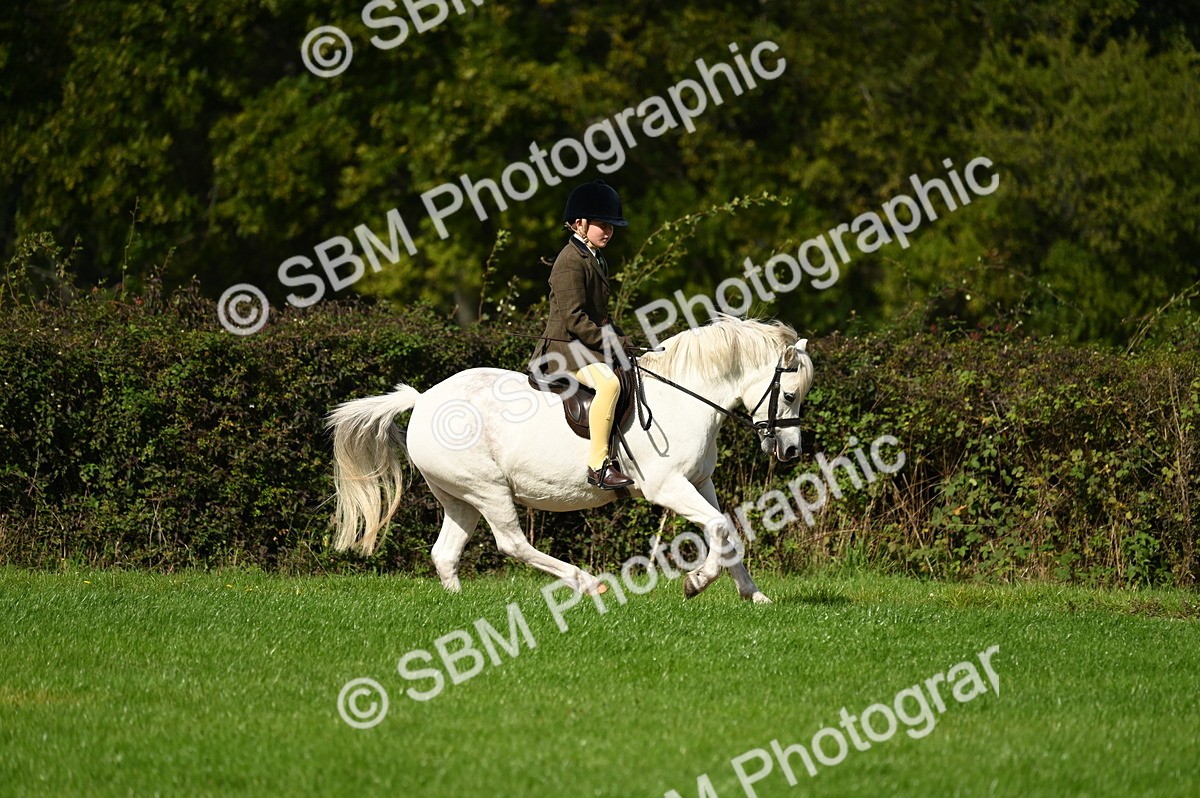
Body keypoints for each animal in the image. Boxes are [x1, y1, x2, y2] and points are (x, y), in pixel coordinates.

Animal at [326, 316, 813, 603]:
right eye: (790, 395)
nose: (791, 452)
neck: (683, 396)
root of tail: (424, 399)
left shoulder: (699, 482)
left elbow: (725, 530)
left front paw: (754, 596)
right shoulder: (667, 486)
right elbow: (719, 527)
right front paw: (696, 583)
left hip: (459, 497)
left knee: (445, 553)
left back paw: (459, 603)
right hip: (488, 490)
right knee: (512, 544)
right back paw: (586, 582)